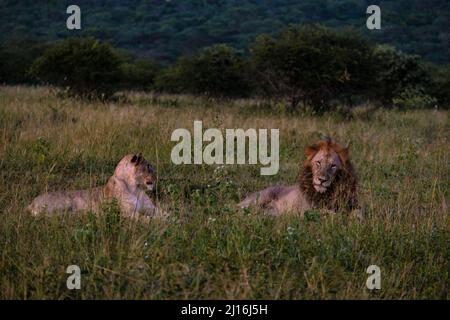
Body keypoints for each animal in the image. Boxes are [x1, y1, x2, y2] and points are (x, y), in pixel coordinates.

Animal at [27, 153, 158, 219]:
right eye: (148, 167)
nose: (157, 177)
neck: (136, 189)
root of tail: (31, 203)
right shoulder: (128, 212)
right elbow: (145, 219)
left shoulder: (152, 209)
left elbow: (161, 214)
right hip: (66, 201)